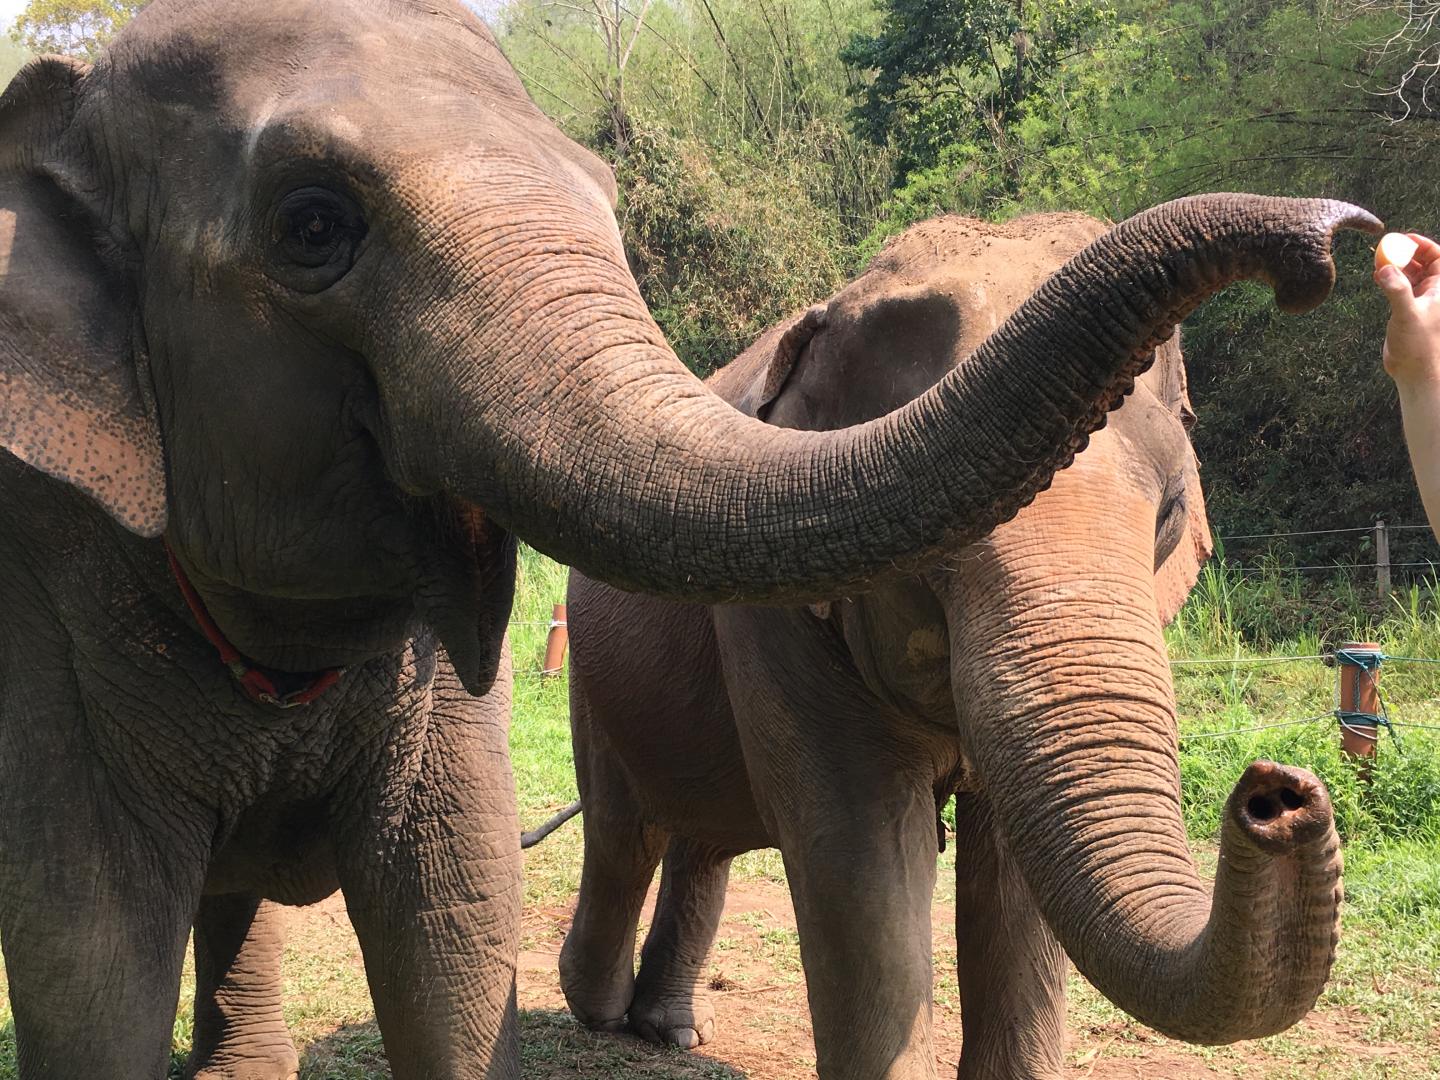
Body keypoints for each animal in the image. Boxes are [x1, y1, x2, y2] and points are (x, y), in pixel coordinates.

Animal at [561, 211, 1348, 1080]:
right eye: (934, 535)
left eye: (1171, 511)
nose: (1278, 793)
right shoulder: (772, 610)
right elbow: (859, 851)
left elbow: (1013, 874)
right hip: (588, 669)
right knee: (623, 832)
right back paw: (598, 1009)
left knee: (700, 843)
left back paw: (673, 1031)